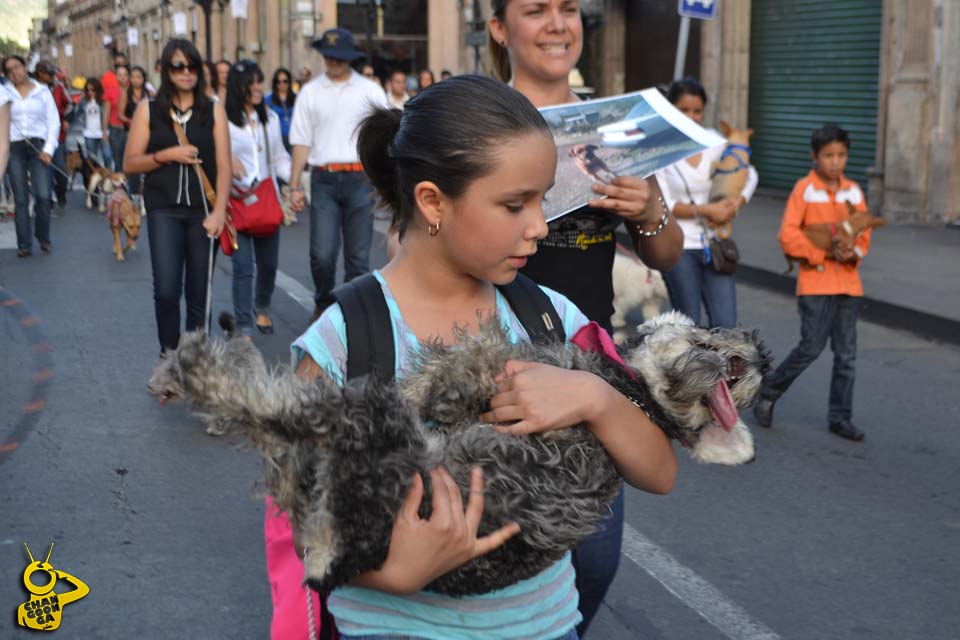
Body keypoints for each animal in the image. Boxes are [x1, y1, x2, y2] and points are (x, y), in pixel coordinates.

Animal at [150, 312, 772, 596]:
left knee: (278, 412)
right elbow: (452, 377)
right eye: (708, 336)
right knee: (280, 451)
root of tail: (344, 552)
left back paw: (194, 366)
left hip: (363, 429)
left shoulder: (511, 375)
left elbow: (467, 362)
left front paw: (424, 387)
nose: (757, 351)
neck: (630, 393)